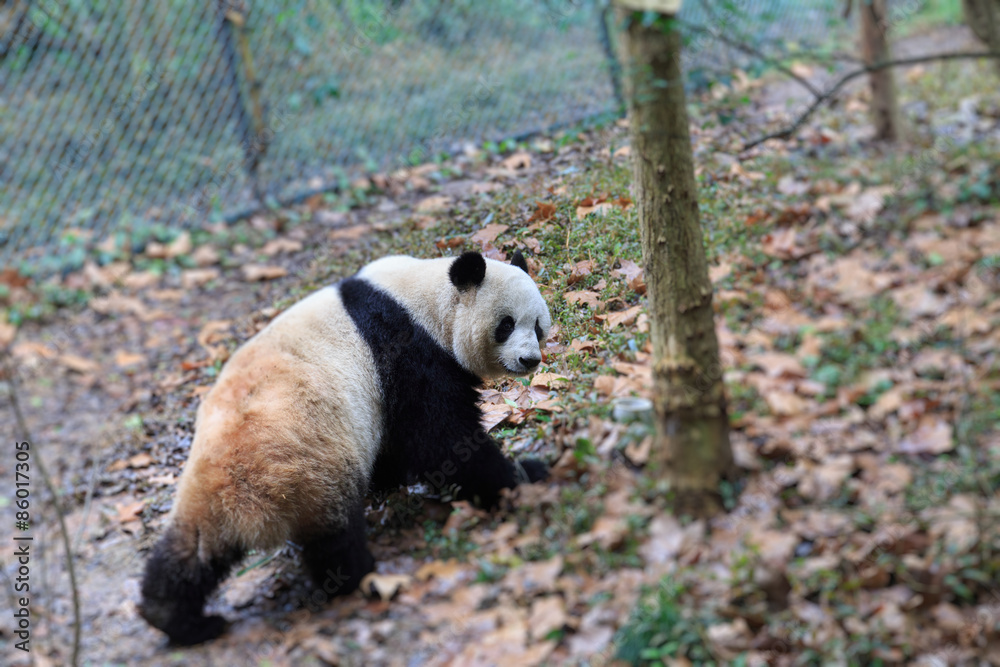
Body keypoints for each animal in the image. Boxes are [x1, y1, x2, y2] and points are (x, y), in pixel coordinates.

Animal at [138, 250, 552, 645]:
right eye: (506, 325)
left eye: (538, 326)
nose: (529, 359)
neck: (425, 297)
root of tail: (245, 505)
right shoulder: (403, 349)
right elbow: (443, 439)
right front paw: (522, 475)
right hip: (311, 464)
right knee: (333, 533)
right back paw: (354, 576)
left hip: (205, 491)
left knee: (188, 551)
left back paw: (176, 619)